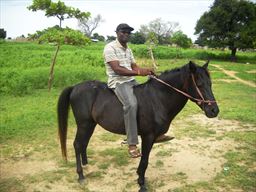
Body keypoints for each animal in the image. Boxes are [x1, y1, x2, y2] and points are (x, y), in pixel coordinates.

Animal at [57, 60, 219, 192]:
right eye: (199, 85)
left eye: (210, 84)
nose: (214, 110)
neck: (158, 99)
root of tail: (75, 87)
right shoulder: (148, 137)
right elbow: (145, 161)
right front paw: (141, 183)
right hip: (84, 124)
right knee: (78, 144)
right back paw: (80, 175)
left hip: (91, 124)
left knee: (83, 143)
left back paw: (85, 164)